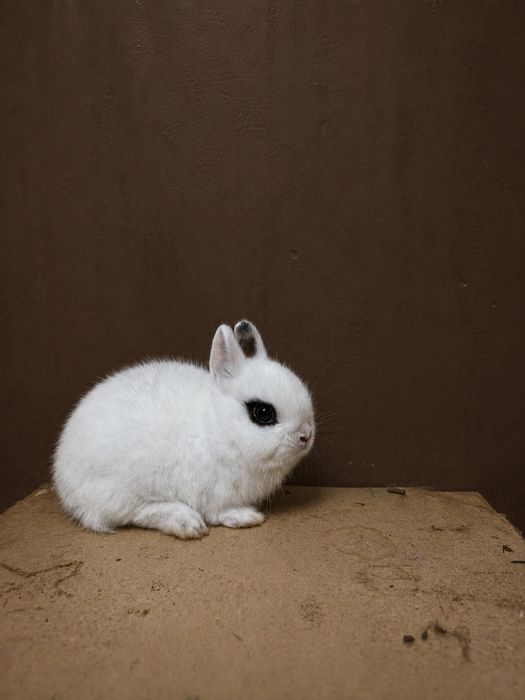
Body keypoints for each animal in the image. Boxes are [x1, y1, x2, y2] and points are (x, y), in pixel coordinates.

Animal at [52, 320, 315, 539]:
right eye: (263, 413)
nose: (306, 435)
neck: (217, 430)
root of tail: (63, 479)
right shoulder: (212, 495)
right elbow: (218, 513)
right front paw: (246, 517)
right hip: (119, 490)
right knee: (138, 512)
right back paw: (187, 523)